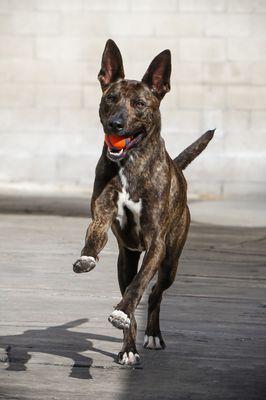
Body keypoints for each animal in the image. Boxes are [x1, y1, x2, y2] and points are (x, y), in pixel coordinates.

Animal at [72, 39, 214, 366]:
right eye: (110, 98)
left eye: (139, 104)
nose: (116, 124)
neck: (130, 164)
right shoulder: (103, 215)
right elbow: (94, 236)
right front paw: (87, 257)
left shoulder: (156, 244)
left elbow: (139, 287)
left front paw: (122, 313)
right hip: (125, 260)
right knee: (131, 285)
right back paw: (129, 347)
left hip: (171, 261)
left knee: (154, 293)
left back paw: (152, 334)